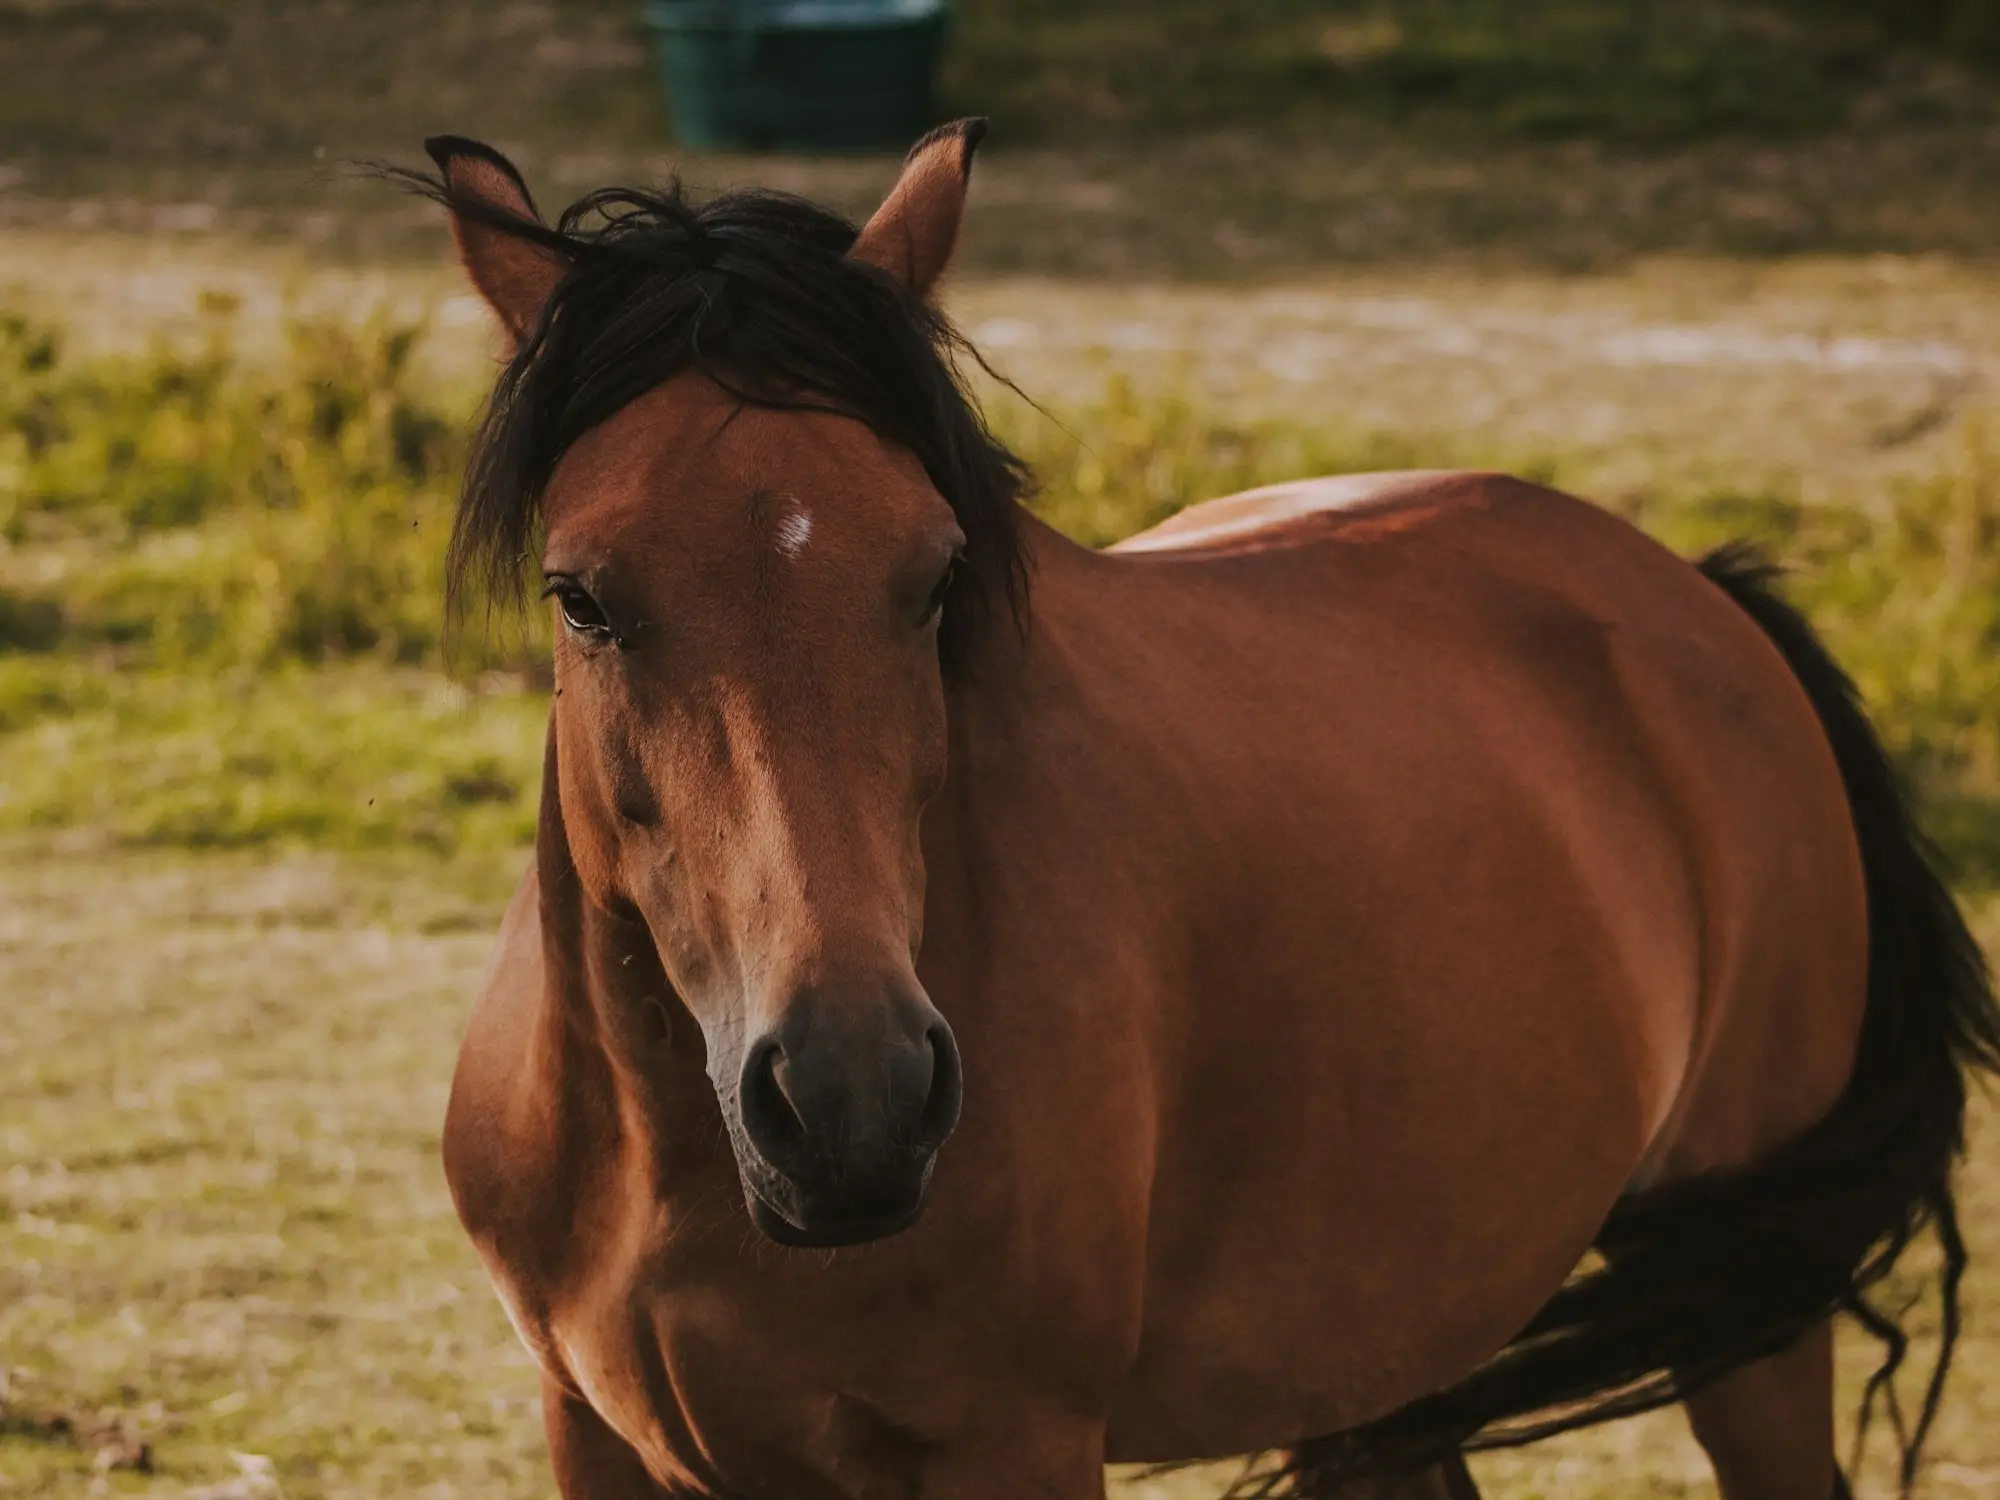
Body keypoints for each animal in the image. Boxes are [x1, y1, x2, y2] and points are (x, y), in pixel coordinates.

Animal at [410, 123, 2000, 1496]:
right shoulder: (595, 1436)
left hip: (1749, 1327)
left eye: (935, 576)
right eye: (583, 596)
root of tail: (1696, 593)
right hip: (1378, 1353)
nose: (853, 1101)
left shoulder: (1011, 1447)